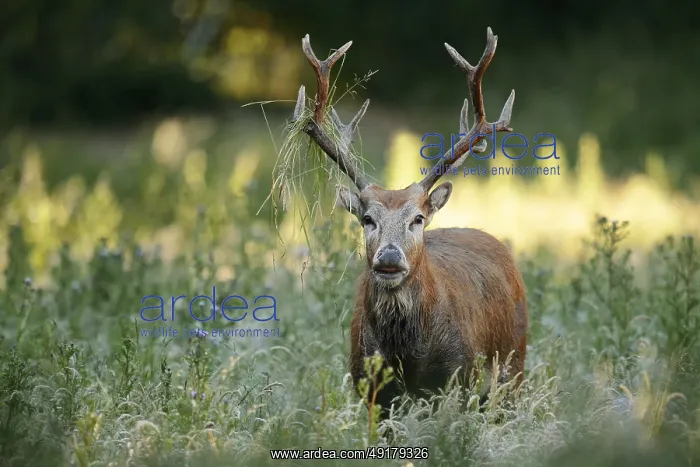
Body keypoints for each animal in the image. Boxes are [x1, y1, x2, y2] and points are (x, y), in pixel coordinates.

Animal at [289, 27, 528, 420]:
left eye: (418, 218)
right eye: (367, 219)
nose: (388, 258)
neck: (408, 356)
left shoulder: (457, 375)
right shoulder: (368, 384)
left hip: (514, 366)